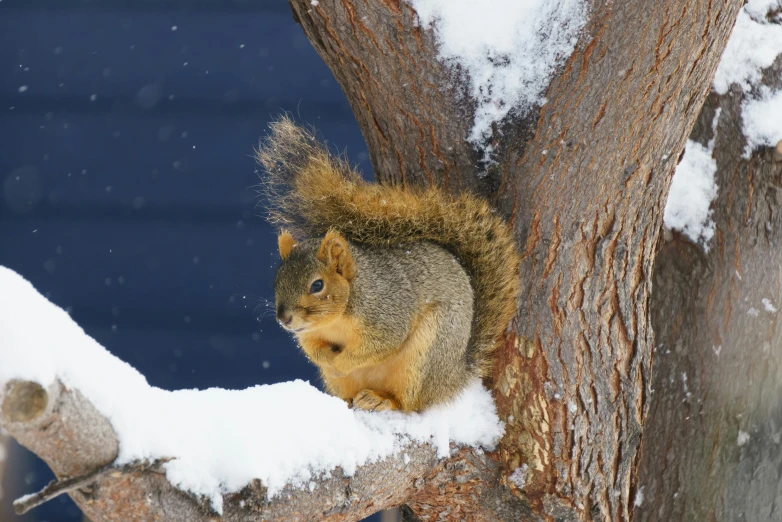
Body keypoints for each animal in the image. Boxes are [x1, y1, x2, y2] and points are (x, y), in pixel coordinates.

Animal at [258, 118, 524, 410]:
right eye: (277, 280)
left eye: (317, 285)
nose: (284, 319)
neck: (339, 316)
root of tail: (454, 376)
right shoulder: (309, 334)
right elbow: (312, 349)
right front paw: (328, 360)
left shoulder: (387, 313)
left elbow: (380, 344)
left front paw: (339, 363)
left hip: (424, 357)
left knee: (411, 404)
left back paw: (382, 401)